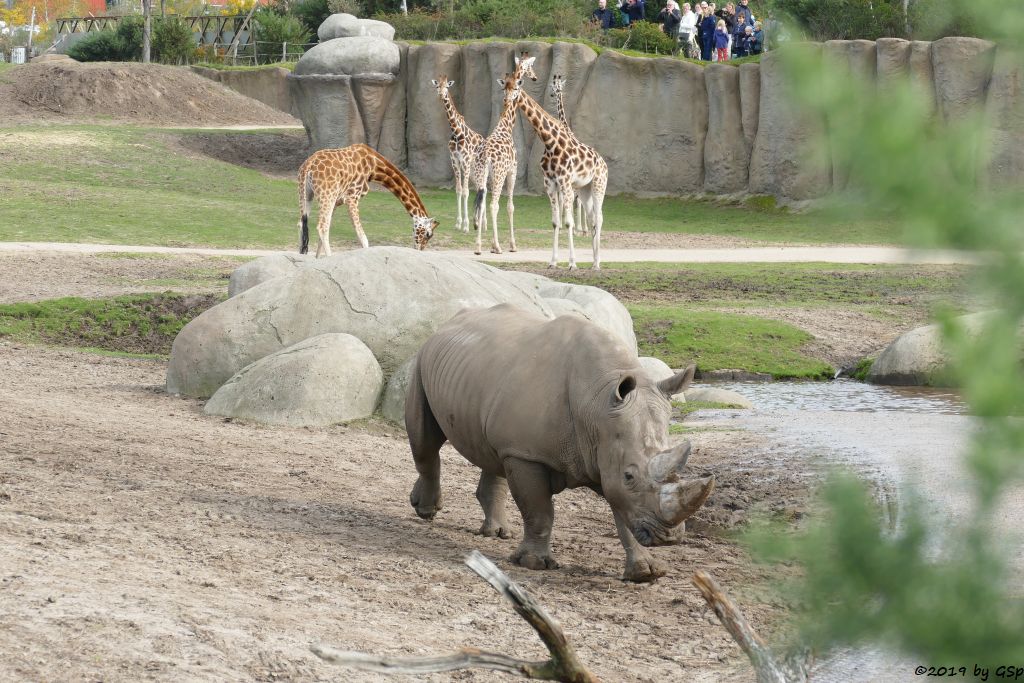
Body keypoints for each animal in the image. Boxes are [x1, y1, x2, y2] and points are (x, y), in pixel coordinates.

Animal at [296, 143, 440, 258]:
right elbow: (363, 237)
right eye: (428, 234)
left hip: (307, 195)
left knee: (302, 223)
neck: (374, 166)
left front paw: (317, 259)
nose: (419, 250)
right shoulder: (352, 197)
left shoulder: (337, 201)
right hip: (327, 194)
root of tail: (308, 165)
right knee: (321, 227)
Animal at [430, 75, 481, 235]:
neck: (457, 132)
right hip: (473, 171)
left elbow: (465, 191)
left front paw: (466, 226)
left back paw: (483, 223)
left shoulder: (464, 161)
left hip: (479, 168)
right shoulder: (455, 161)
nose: (441, 95)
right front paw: (458, 223)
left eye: (447, 86)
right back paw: (481, 223)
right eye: (437, 86)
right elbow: (458, 190)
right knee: (480, 188)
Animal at [468, 53, 540, 255]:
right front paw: (511, 245)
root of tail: (485, 157)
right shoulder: (512, 171)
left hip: (479, 176)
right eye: (529, 66)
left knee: (481, 203)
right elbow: (510, 207)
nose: (534, 77)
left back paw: (478, 246)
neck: (506, 127)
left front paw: (490, 244)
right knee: (493, 205)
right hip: (499, 175)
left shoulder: (491, 177)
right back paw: (498, 247)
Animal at [503, 72, 606, 270]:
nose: (506, 100)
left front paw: (572, 263)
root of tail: (604, 163)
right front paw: (553, 262)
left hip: (599, 185)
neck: (550, 143)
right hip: (584, 189)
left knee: (599, 218)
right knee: (592, 218)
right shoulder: (550, 183)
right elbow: (555, 222)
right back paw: (593, 261)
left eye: (517, 87)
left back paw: (597, 263)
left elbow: (568, 222)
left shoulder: (565, 182)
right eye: (504, 86)